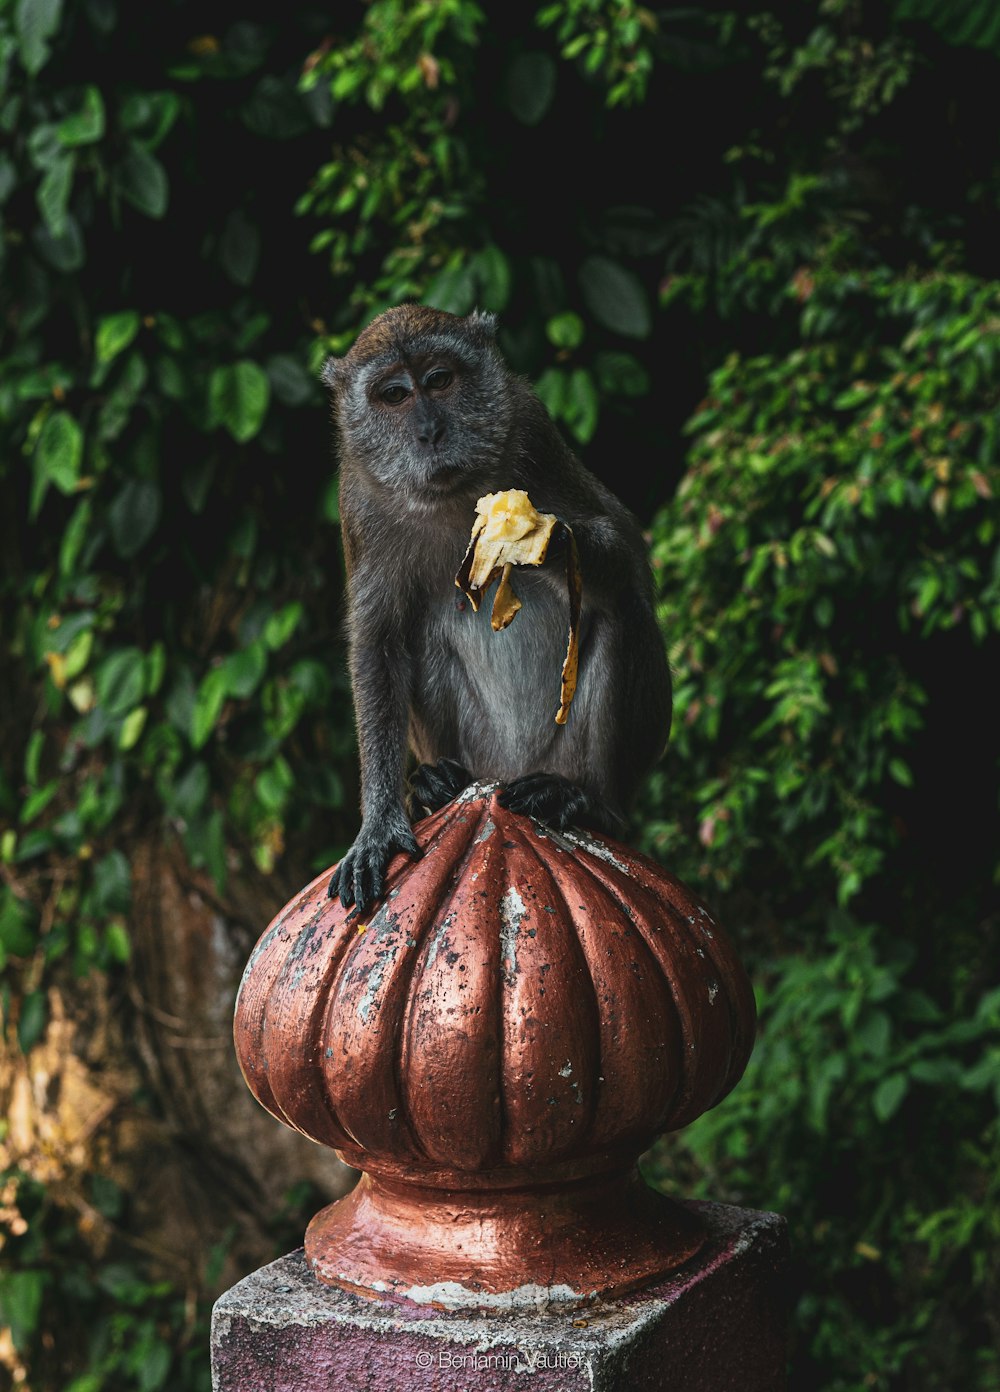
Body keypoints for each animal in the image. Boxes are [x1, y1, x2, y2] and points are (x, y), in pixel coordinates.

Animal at [324, 304, 674, 913]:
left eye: (440, 380)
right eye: (394, 394)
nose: (430, 431)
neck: (452, 497)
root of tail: (505, 773)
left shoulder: (532, 428)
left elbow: (626, 549)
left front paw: (550, 538)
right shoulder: (360, 502)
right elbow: (379, 644)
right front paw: (379, 825)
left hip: (566, 751)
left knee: (621, 614)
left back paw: (589, 802)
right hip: (481, 746)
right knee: (422, 633)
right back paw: (436, 783)